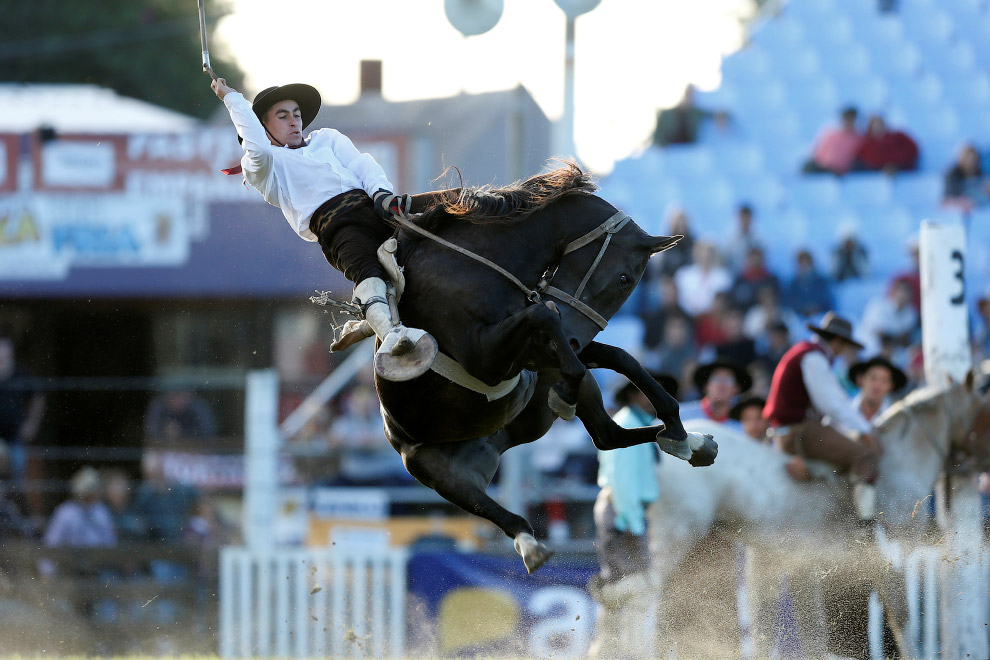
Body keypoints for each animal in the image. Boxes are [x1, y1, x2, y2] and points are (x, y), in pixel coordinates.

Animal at [352, 164, 716, 572]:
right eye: (625, 279)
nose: (575, 338)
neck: (473, 265)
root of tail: (492, 444)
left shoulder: (539, 349)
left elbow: (619, 356)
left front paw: (678, 428)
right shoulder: (488, 357)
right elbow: (547, 317)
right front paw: (566, 395)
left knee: (609, 436)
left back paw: (693, 442)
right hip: (442, 475)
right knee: (501, 511)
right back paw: (528, 542)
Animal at [648, 374, 990, 656]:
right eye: (984, 410)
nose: (980, 468)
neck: (896, 464)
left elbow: (814, 632)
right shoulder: (891, 558)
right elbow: (902, 620)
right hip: (671, 543)